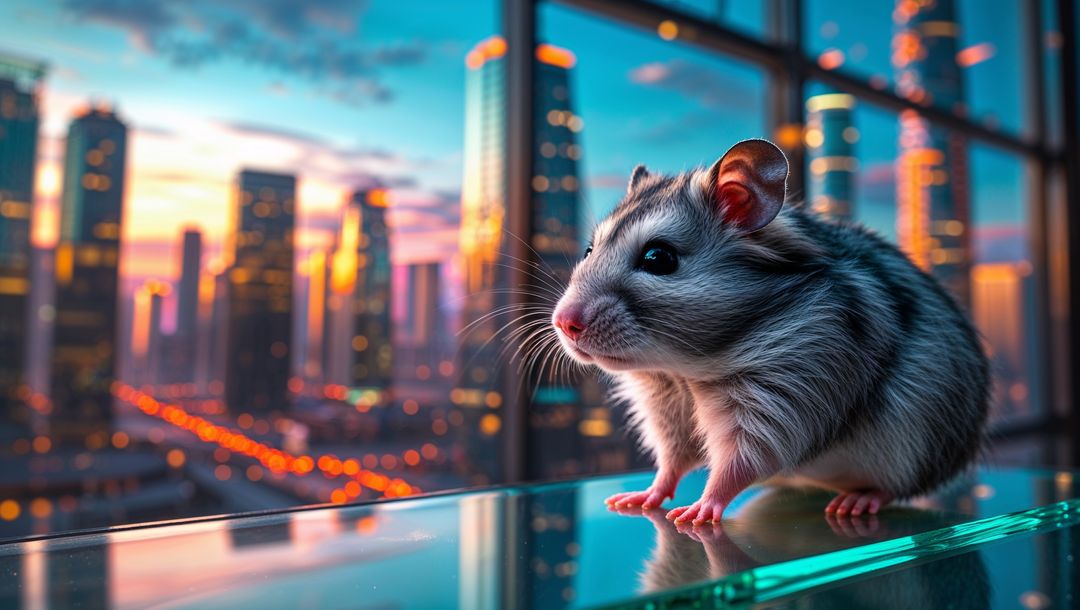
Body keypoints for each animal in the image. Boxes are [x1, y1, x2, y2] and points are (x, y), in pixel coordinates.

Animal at [552, 139, 989, 525]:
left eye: (659, 258)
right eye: (589, 250)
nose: (563, 323)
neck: (688, 367)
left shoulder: (788, 391)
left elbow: (738, 463)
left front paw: (695, 513)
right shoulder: (665, 409)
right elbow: (671, 463)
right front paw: (635, 499)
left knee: (891, 488)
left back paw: (854, 503)